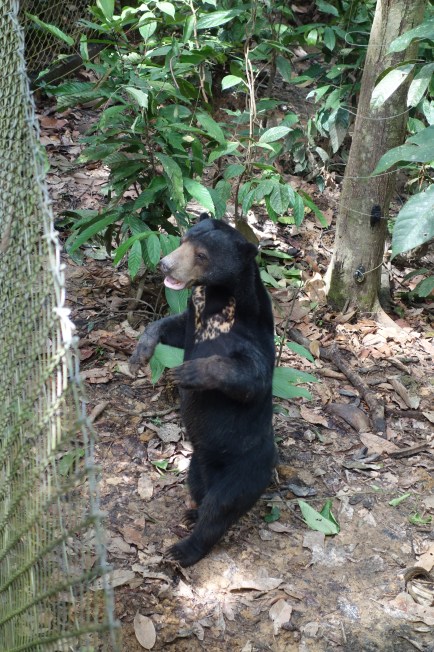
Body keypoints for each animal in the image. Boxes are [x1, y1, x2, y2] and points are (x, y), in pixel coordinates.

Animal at [130, 215, 276, 567]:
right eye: (183, 240)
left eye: (201, 255)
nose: (165, 264)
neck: (213, 301)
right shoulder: (190, 320)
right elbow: (170, 326)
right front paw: (141, 351)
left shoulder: (250, 336)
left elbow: (251, 377)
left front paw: (188, 373)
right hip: (197, 464)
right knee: (198, 489)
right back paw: (191, 513)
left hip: (246, 468)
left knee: (220, 507)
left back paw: (183, 549)